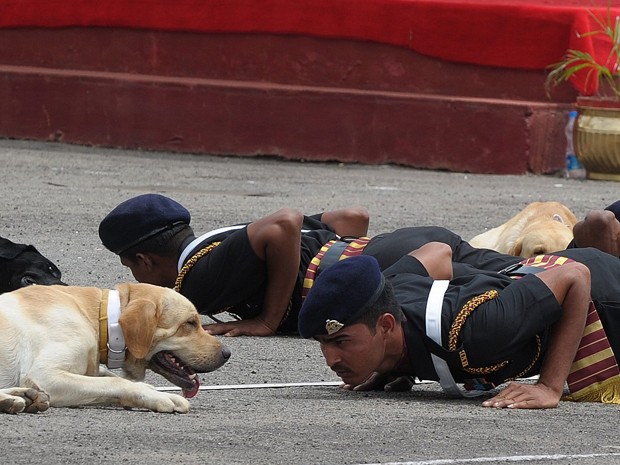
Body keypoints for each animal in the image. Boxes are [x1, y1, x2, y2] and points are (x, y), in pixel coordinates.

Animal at [0, 282, 230, 414]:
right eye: (190, 323)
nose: (227, 353)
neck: (98, 318)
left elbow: (113, 377)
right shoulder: (45, 375)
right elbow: (117, 381)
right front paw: (159, 397)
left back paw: (22, 398)